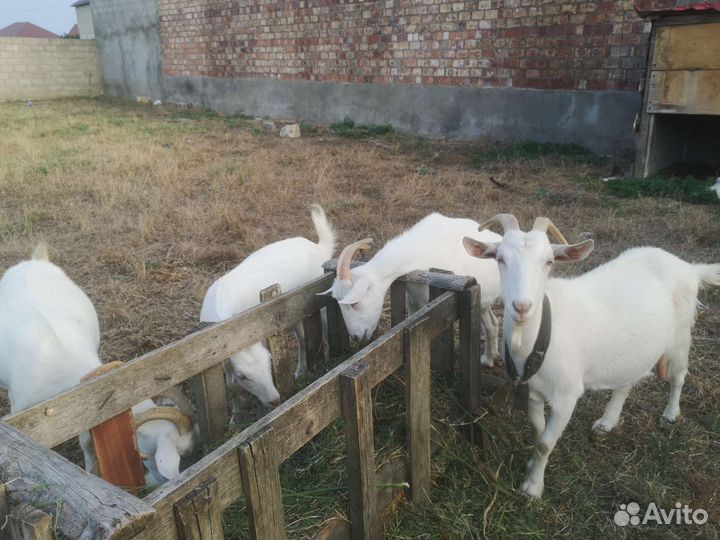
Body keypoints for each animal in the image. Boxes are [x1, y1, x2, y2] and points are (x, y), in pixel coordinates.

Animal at [0, 244, 194, 487]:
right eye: (181, 453)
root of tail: (33, 261)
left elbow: (85, 440)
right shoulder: (24, 412)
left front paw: (91, 470)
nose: (161, 480)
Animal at [200, 204, 336, 410]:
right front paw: (236, 412)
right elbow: (231, 384)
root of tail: (319, 248)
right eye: (244, 376)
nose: (275, 400)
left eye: (269, 361)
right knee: (301, 337)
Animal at [324, 213, 503, 365]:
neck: (419, 251)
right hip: (484, 302)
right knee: (493, 323)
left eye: (355, 303)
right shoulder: (412, 300)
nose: (355, 337)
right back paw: (490, 357)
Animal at [463, 214, 720, 498]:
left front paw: (533, 488)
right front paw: (531, 466)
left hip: (680, 336)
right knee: (626, 383)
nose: (521, 307)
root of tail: (688, 267)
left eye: (549, 261)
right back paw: (607, 422)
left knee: (679, 375)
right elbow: (537, 431)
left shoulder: (566, 396)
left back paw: (671, 414)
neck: (539, 337)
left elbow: (545, 443)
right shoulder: (534, 391)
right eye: (500, 259)